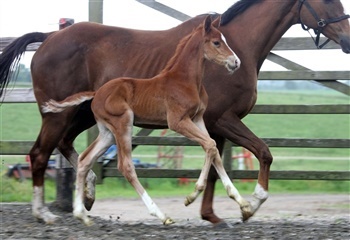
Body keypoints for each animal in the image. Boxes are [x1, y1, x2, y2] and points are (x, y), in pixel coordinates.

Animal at [42, 16, 242, 225]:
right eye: (216, 42)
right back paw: (161, 215)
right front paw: (192, 195)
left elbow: (213, 150)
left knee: (84, 160)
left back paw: (81, 214)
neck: (185, 80)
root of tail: (97, 93)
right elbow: (210, 145)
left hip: (107, 133)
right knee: (126, 166)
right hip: (123, 123)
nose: (236, 61)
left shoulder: (197, 119)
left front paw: (241, 202)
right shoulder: (177, 121)